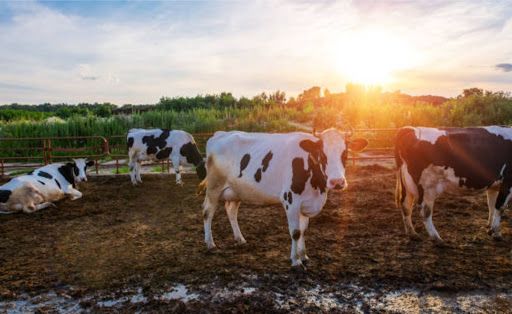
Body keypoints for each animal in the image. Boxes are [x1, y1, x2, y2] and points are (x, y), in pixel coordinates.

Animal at [200, 129, 368, 268]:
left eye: (345, 153)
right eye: (322, 154)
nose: (337, 182)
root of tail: (219, 134)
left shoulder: (305, 203)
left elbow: (303, 230)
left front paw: (304, 256)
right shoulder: (291, 200)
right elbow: (295, 232)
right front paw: (296, 261)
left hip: (236, 191)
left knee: (231, 211)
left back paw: (239, 238)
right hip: (214, 188)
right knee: (207, 212)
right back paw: (210, 243)